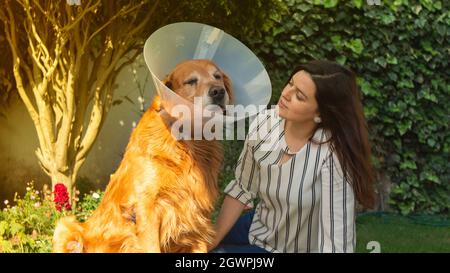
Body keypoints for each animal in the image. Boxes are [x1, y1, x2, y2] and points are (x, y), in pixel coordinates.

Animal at [53, 59, 232, 251]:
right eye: (191, 81)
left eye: (217, 76)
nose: (218, 91)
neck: (188, 144)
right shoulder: (148, 209)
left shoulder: (198, 217)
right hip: (65, 225)